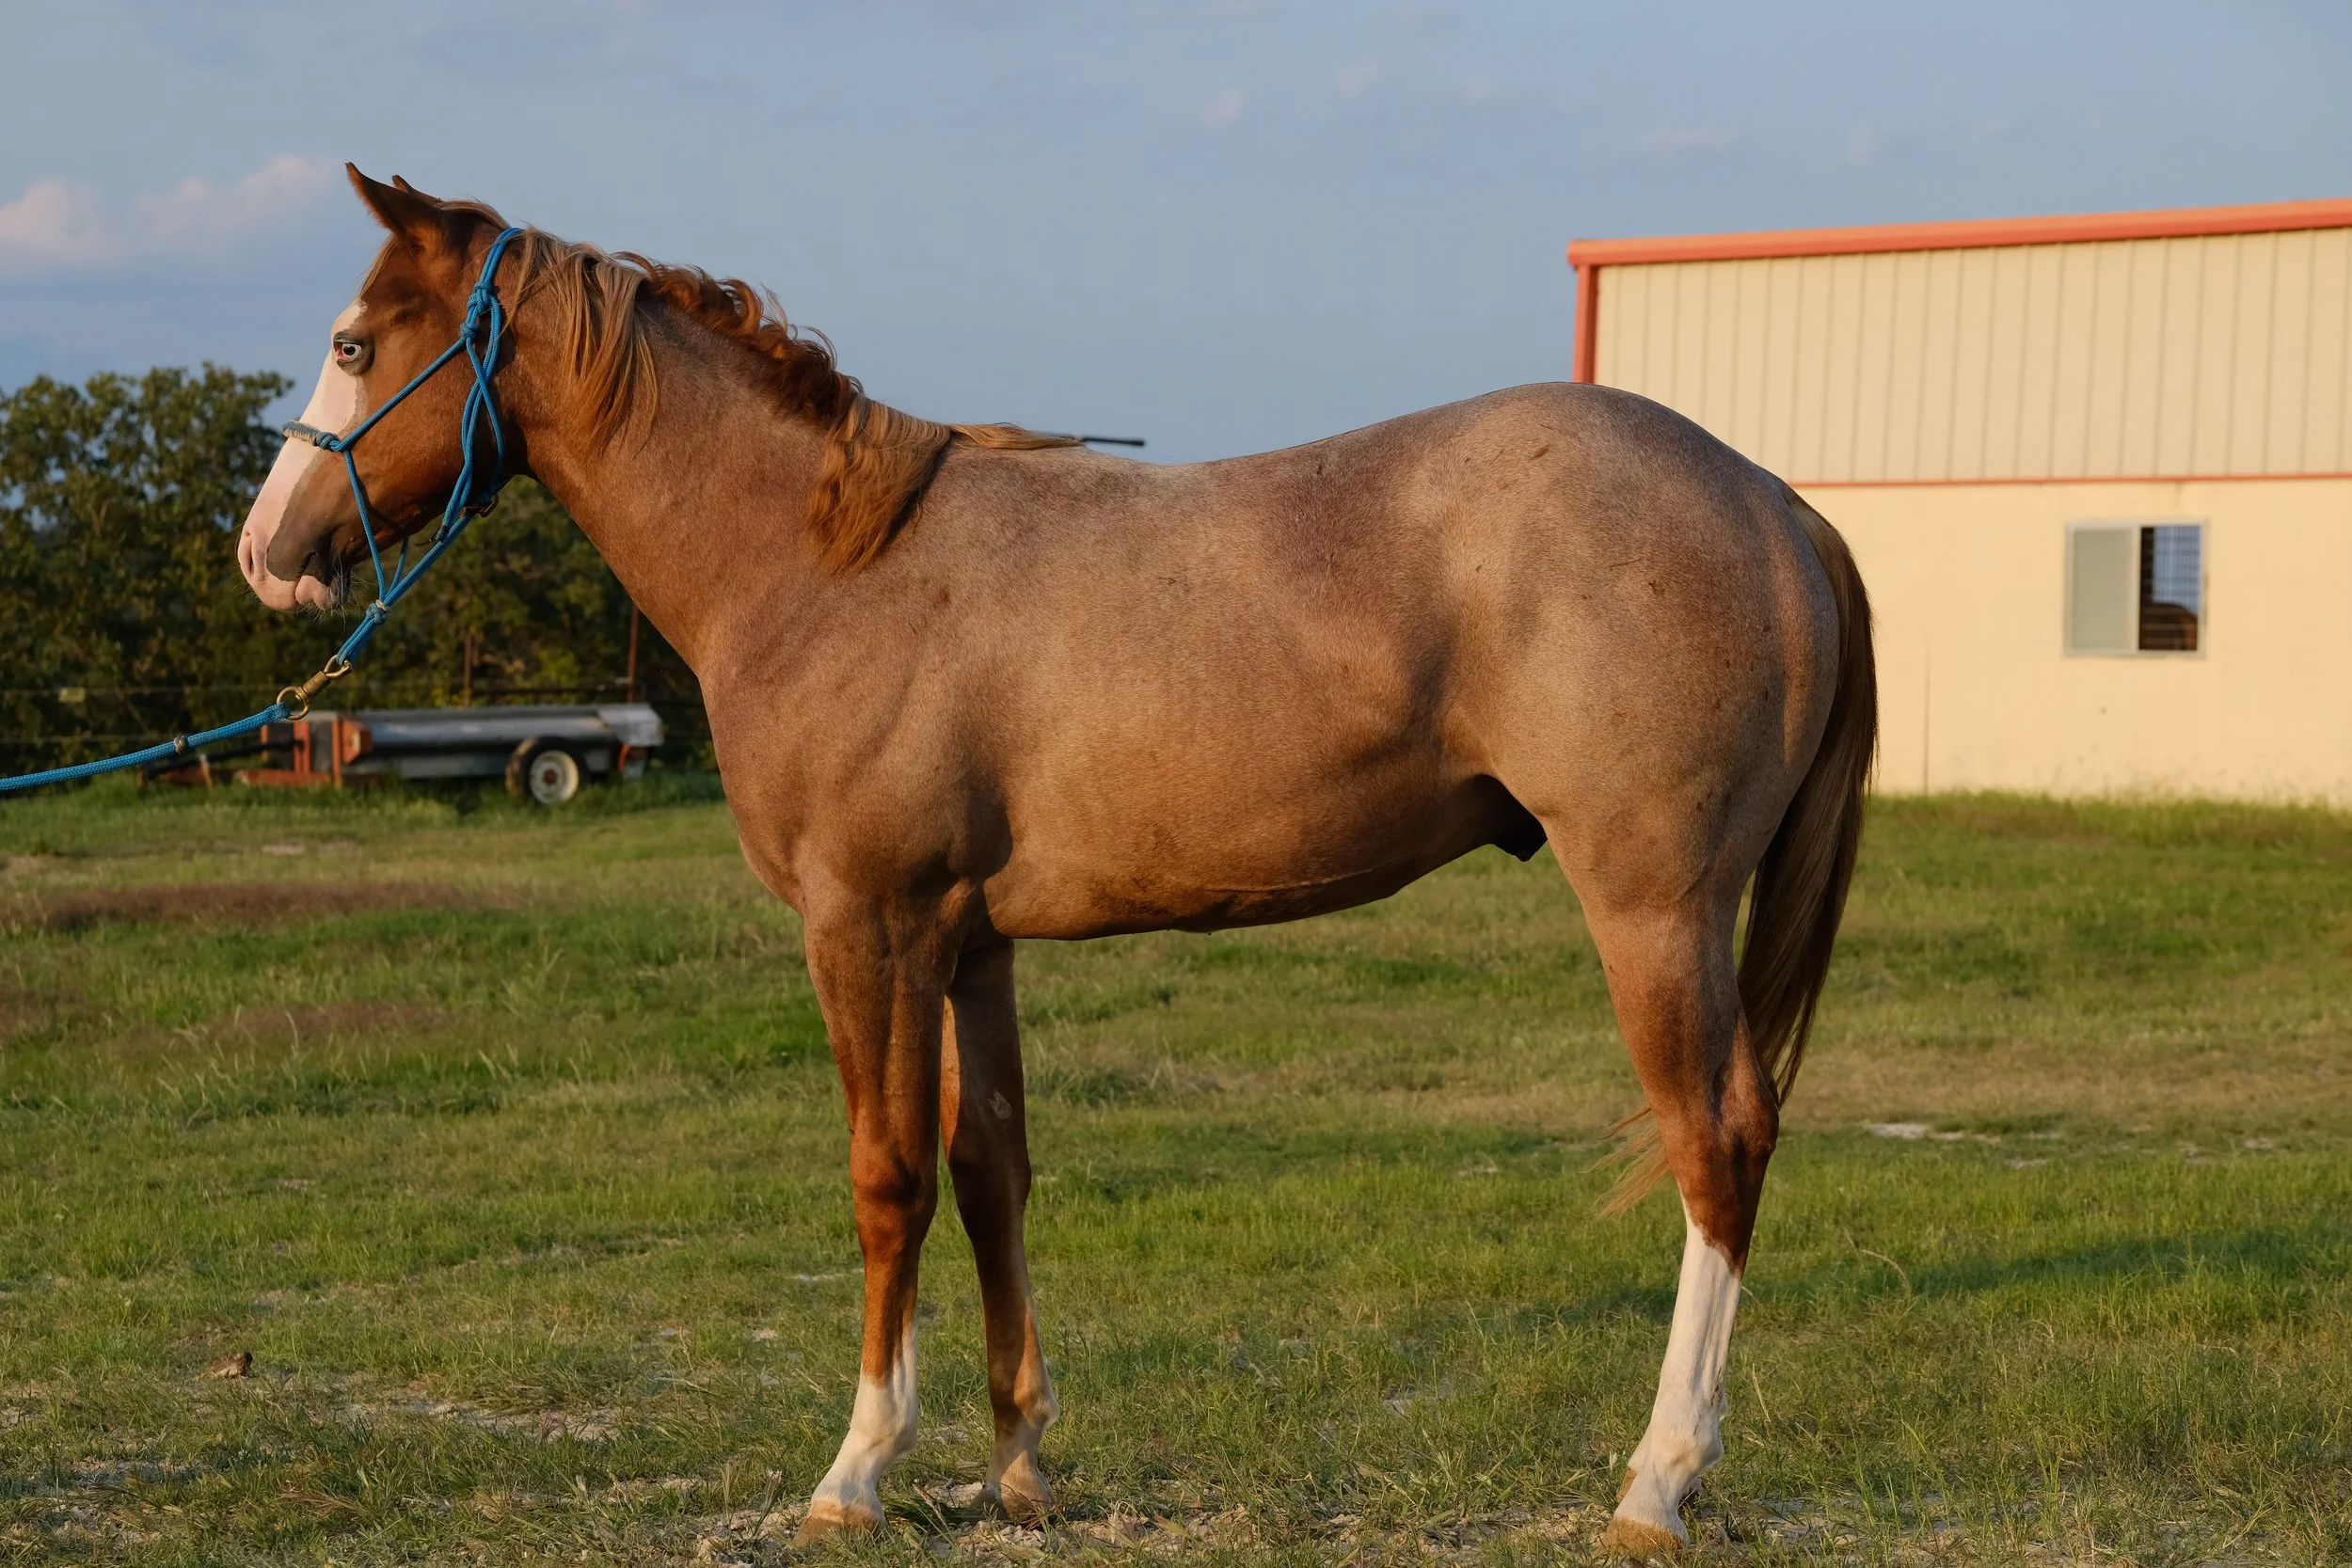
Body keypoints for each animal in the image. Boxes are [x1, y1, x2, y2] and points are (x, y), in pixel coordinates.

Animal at [238, 167, 1875, 1554]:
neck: (823, 562)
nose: (267, 550)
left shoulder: (867, 925)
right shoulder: (970, 941)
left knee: (1717, 1141)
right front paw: (1017, 1458)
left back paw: (1659, 1477)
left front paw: (857, 1468)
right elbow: (991, 1169)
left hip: (1656, 907)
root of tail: (1771, 499)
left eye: (357, 342)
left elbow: (887, 1175)